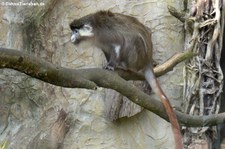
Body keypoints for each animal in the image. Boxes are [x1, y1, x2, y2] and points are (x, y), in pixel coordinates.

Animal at [70, 10, 183, 149]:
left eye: (76, 31)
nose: (72, 38)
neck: (95, 29)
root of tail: (147, 59)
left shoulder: (108, 34)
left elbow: (119, 43)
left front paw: (112, 65)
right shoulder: (101, 42)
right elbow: (107, 49)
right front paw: (108, 64)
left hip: (138, 55)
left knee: (131, 39)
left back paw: (124, 66)